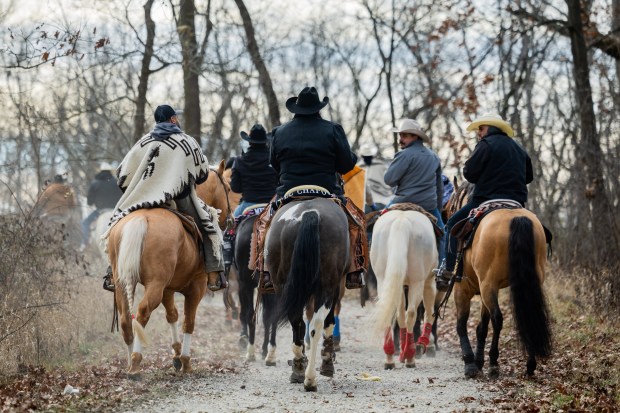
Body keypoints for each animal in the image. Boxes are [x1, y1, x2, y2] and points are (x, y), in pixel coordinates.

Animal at [106, 163, 232, 374]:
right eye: (229, 189)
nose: (230, 220)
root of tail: (141, 219)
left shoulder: (167, 289)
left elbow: (172, 315)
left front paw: (176, 356)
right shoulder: (196, 287)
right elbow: (189, 322)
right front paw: (186, 362)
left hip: (123, 283)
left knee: (125, 320)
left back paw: (131, 363)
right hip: (155, 285)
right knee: (142, 313)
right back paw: (136, 363)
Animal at [266, 195, 352, 392]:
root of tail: (310, 213)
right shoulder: (337, 286)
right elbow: (329, 321)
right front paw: (328, 362)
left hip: (283, 283)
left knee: (297, 321)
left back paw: (299, 368)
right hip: (328, 284)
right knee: (317, 324)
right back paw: (310, 379)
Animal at [370, 209, 438, 366]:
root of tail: (401, 221)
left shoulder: (399, 284)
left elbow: (399, 315)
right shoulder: (430, 282)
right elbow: (429, 312)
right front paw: (422, 344)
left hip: (383, 279)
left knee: (390, 310)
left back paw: (390, 357)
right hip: (417, 281)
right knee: (412, 313)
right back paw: (410, 355)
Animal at [446, 182, 552, 378]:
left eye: (451, 207)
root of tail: (517, 218)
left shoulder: (463, 289)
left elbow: (462, 324)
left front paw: (470, 363)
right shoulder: (483, 290)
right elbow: (482, 327)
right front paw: (478, 361)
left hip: (488, 285)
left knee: (497, 319)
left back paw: (494, 363)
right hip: (526, 282)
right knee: (528, 314)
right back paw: (530, 364)